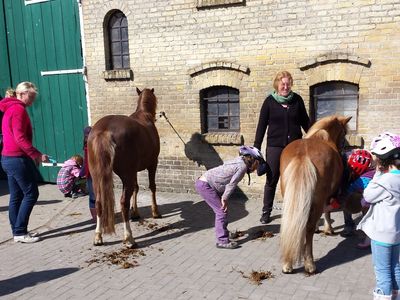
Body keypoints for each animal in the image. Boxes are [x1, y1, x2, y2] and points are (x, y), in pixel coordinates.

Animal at [88, 88, 160, 247]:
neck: (144, 115)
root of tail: (104, 131)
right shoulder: (152, 164)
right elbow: (152, 186)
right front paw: (155, 212)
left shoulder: (134, 171)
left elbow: (137, 188)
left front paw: (136, 213)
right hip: (126, 175)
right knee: (123, 203)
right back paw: (129, 238)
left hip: (97, 177)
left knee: (99, 202)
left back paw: (98, 236)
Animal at [278, 115, 350, 274]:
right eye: (344, 134)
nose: (343, 148)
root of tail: (303, 155)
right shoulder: (326, 196)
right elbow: (327, 212)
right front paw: (328, 229)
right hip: (317, 199)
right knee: (308, 228)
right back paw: (310, 264)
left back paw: (287, 264)